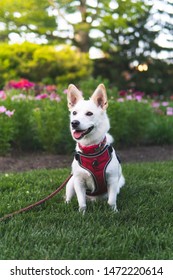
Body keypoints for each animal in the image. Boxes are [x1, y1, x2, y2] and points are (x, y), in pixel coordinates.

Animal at [65, 83, 125, 212]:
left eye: (89, 113)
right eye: (74, 113)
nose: (74, 123)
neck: (91, 151)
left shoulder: (113, 180)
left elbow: (111, 201)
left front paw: (114, 212)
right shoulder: (78, 181)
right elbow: (81, 202)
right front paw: (81, 213)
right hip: (70, 183)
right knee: (68, 197)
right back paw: (66, 204)